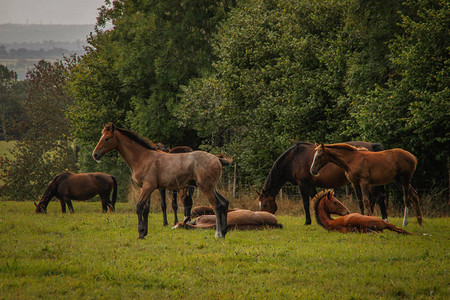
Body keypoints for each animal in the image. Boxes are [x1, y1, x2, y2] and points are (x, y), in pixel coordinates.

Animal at [92, 123, 232, 238]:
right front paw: (144, 233)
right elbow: (146, 210)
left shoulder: (147, 187)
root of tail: (217, 159)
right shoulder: (147, 188)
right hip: (212, 188)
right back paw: (224, 232)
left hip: (206, 188)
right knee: (224, 203)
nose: (95, 155)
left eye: (107, 138)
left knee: (217, 206)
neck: (143, 157)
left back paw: (218, 234)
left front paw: (140, 233)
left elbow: (139, 207)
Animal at [256, 141, 386, 225]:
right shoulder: (310, 185)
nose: (263, 219)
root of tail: (373, 146)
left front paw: (307, 222)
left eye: (264, 205)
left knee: (378, 198)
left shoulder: (302, 185)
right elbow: (315, 199)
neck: (293, 159)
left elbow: (306, 203)